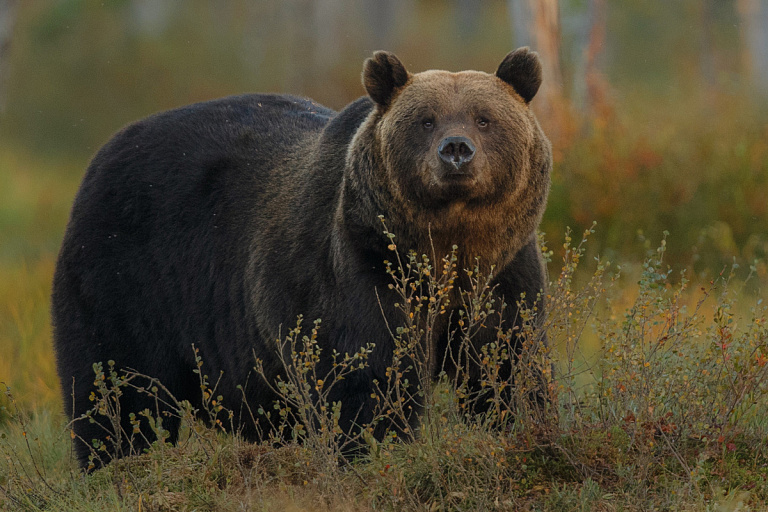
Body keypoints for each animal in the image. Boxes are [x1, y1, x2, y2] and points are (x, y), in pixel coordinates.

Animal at [52, 47, 551, 468]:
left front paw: (520, 426)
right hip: (125, 272)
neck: (445, 247)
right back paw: (118, 463)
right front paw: (372, 449)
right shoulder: (358, 263)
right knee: (116, 388)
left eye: (484, 118)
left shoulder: (504, 271)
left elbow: (508, 362)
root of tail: (104, 152)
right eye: (426, 121)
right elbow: (365, 372)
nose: (456, 151)